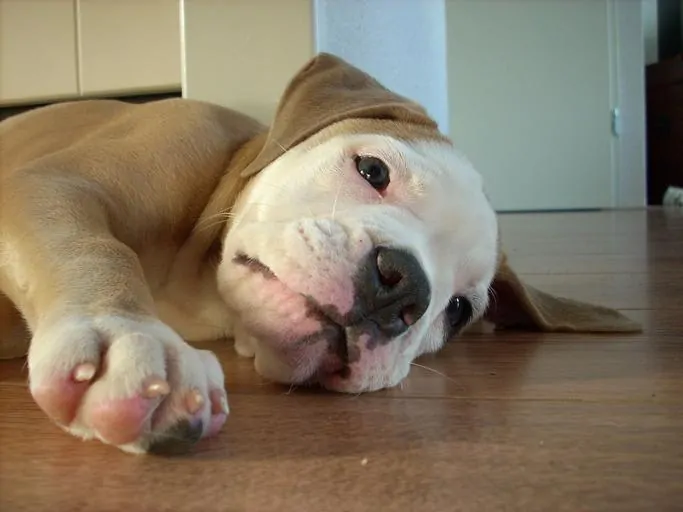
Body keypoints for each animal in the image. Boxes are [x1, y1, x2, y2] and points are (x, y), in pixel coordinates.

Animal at [1, 52, 640, 454]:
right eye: (373, 170)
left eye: (458, 311)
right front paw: (125, 336)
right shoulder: (53, 185)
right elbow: (93, 248)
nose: (401, 289)